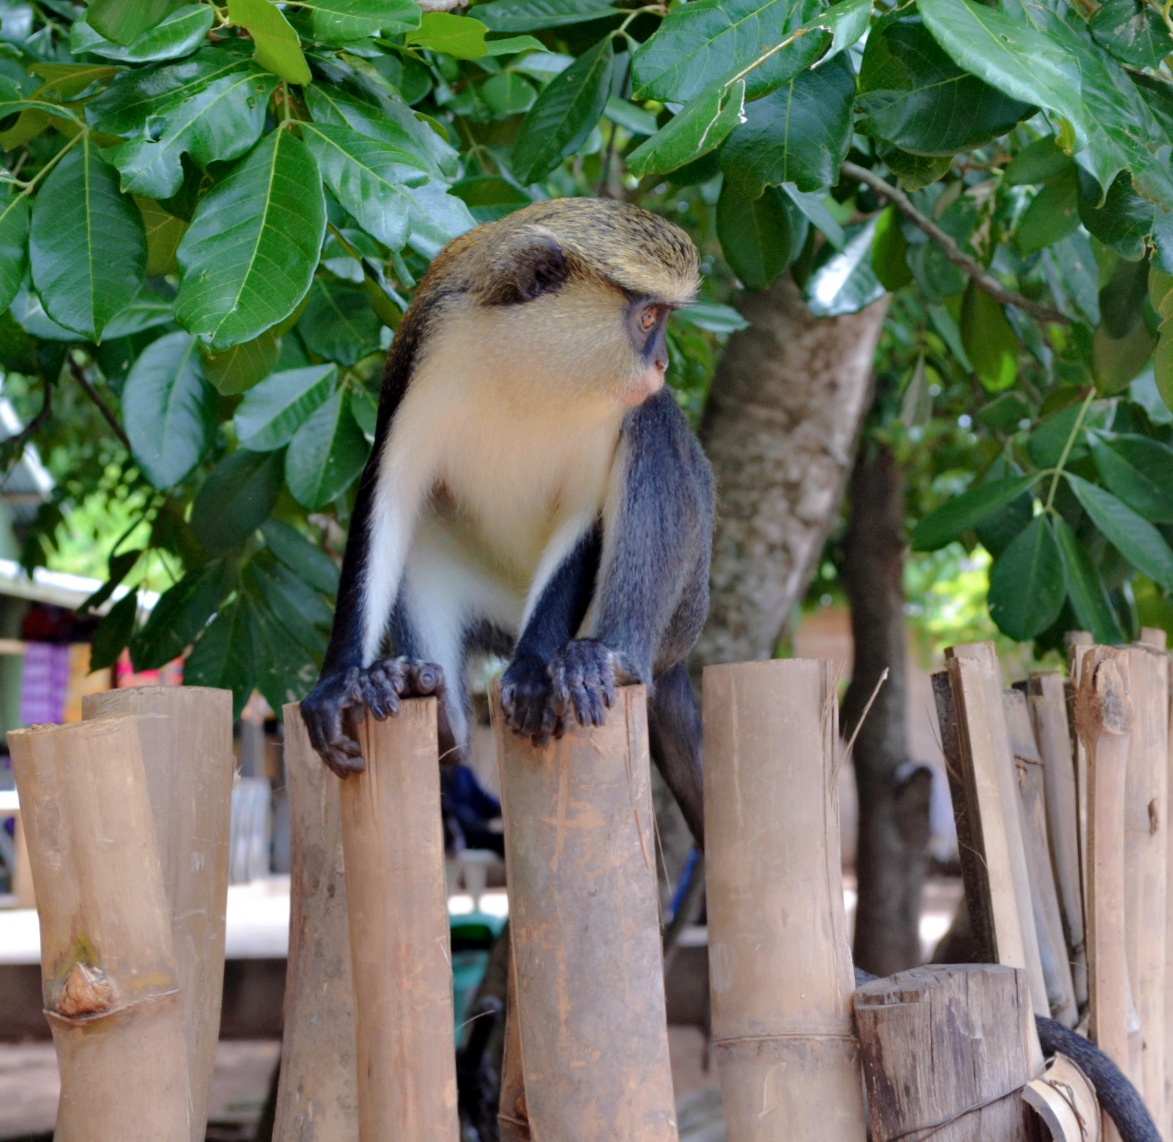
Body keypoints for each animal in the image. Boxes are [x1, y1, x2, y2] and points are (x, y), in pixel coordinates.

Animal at [301, 198, 713, 847]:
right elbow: (390, 496)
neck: (531, 361)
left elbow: (587, 514)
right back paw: (425, 705)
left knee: (655, 422)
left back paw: (611, 658)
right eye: (649, 318)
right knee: (422, 532)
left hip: (682, 611)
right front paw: (337, 682)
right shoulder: (428, 351)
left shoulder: (610, 414)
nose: (664, 362)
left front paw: (533, 673)